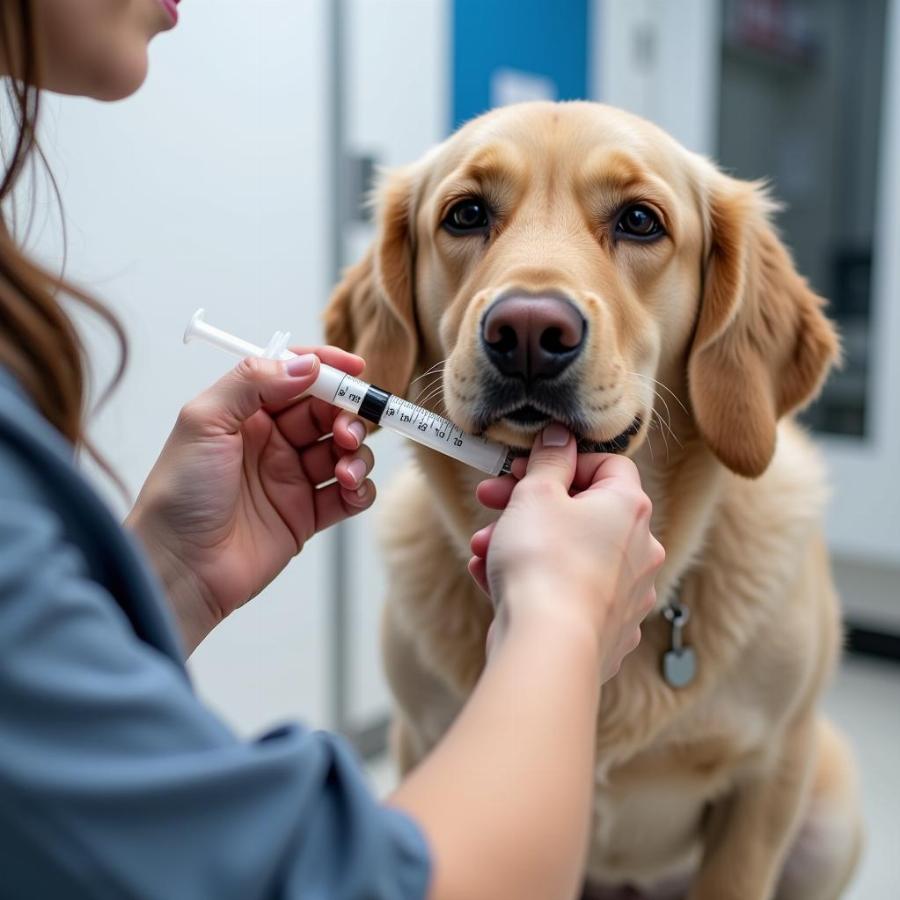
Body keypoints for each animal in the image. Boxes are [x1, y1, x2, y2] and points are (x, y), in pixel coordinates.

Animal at [326, 102, 860, 900]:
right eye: (466, 214)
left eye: (640, 221)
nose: (526, 332)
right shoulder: (423, 740)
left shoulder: (769, 777)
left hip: (833, 816)